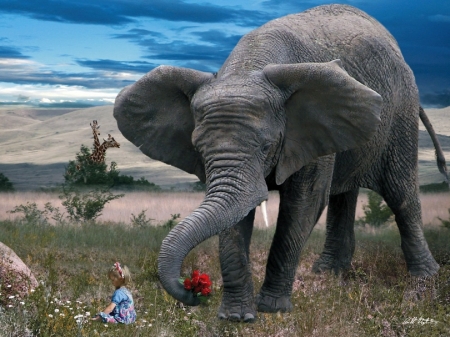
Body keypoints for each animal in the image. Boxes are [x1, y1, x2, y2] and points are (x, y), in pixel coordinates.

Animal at [113, 4, 446, 320]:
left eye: (266, 147)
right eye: (198, 148)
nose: (194, 289)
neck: (249, 67)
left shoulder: (307, 129)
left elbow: (303, 204)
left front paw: (272, 310)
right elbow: (235, 217)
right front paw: (237, 317)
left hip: (401, 111)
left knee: (400, 191)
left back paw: (424, 280)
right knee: (346, 194)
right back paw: (328, 274)